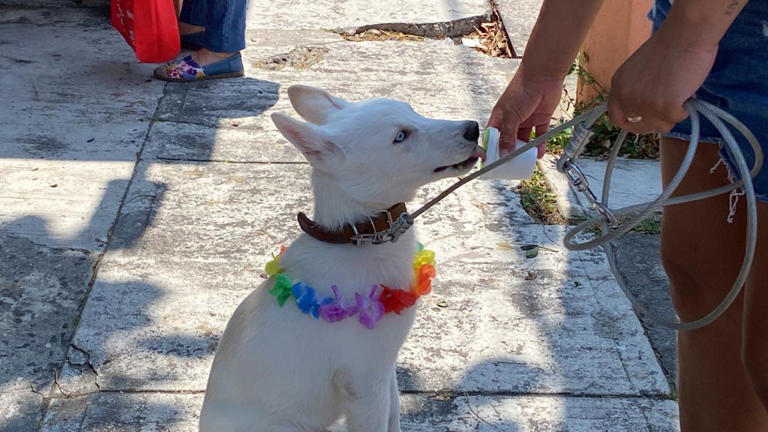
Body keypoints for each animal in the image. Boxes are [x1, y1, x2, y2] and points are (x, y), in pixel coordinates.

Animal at [199, 85, 482, 432]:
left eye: (412, 110)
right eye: (401, 136)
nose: (473, 128)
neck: (359, 236)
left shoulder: (385, 369)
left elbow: (395, 416)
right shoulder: (366, 380)